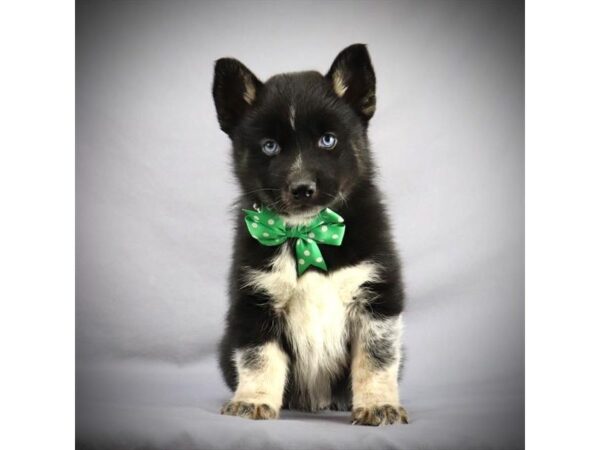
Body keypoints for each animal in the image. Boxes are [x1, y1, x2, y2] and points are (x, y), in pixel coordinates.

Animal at [211, 44, 408, 426]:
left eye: (327, 140)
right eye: (270, 146)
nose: (302, 189)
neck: (308, 235)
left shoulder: (376, 298)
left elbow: (376, 359)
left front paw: (378, 405)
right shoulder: (255, 300)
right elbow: (258, 357)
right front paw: (252, 400)